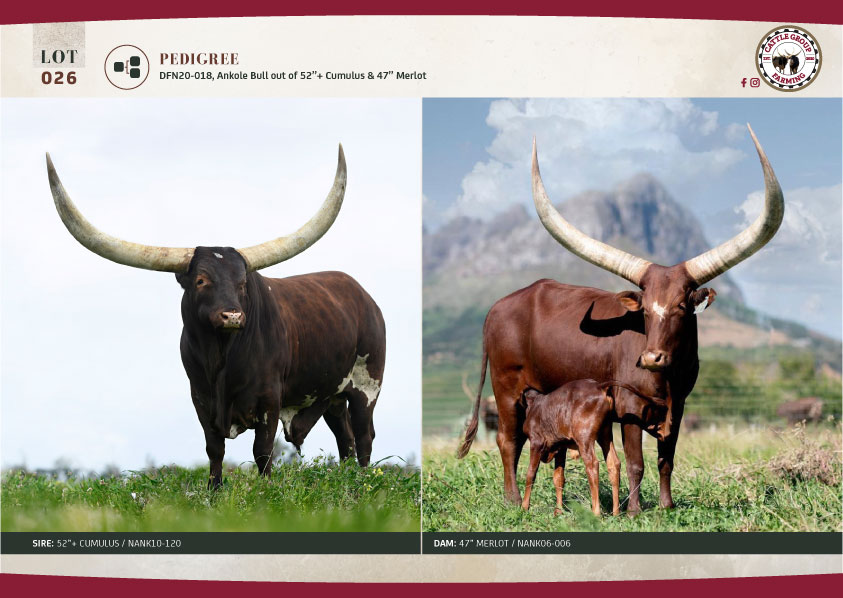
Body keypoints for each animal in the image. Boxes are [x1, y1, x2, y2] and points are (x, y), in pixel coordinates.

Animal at [46, 146, 386, 489]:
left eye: (242, 283)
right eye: (201, 280)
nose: (232, 315)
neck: (221, 357)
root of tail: (364, 297)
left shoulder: (270, 398)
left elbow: (263, 450)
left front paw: (266, 491)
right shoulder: (201, 398)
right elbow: (214, 448)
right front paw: (214, 490)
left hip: (367, 385)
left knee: (364, 435)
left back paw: (364, 482)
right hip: (333, 395)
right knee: (345, 436)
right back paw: (348, 481)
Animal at [459, 124, 784, 513]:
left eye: (681, 306)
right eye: (643, 310)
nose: (651, 358)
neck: (668, 378)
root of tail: (498, 307)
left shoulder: (680, 408)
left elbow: (666, 461)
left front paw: (666, 506)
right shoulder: (629, 411)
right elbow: (635, 462)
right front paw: (633, 510)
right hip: (506, 389)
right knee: (509, 440)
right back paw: (511, 500)